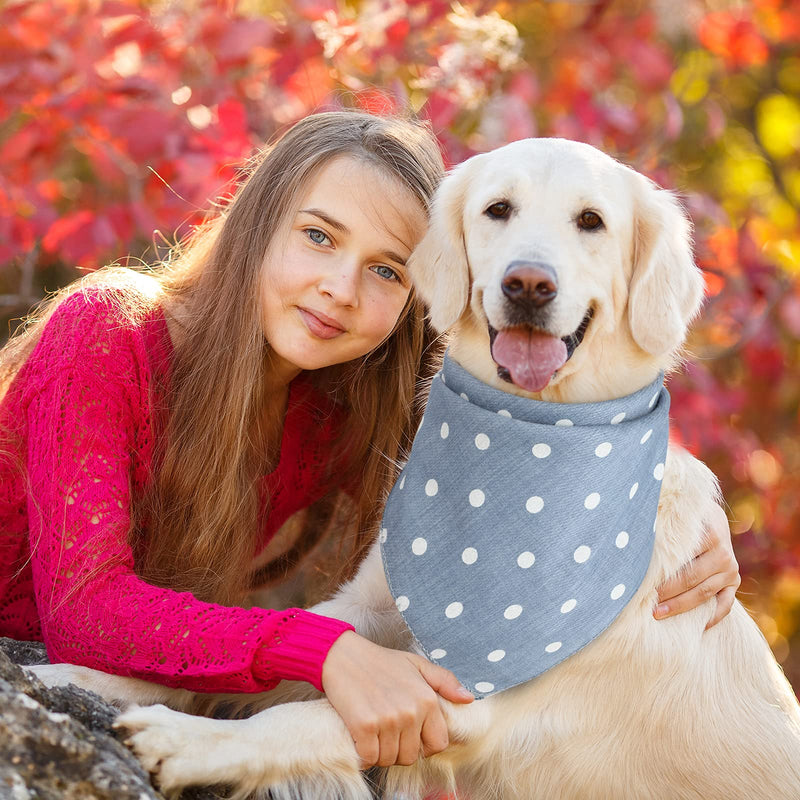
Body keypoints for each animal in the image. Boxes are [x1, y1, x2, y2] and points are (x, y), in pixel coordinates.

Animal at [28, 141, 800, 796]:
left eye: (592, 222)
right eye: (498, 209)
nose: (528, 284)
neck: (527, 446)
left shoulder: (480, 701)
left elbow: (306, 717)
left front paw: (184, 742)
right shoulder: (369, 610)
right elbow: (265, 648)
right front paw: (89, 675)